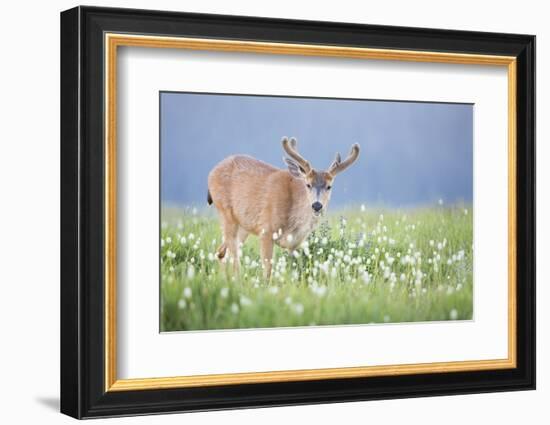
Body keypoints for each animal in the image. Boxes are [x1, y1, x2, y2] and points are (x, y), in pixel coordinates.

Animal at [207, 137, 362, 278]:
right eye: (308, 184)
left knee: (221, 253)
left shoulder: (294, 244)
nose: (317, 205)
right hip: (226, 213)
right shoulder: (266, 230)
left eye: (329, 186)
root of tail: (211, 173)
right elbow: (267, 271)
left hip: (244, 226)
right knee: (232, 258)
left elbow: (292, 270)